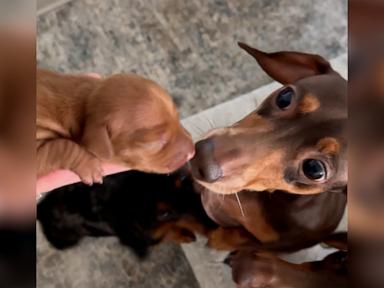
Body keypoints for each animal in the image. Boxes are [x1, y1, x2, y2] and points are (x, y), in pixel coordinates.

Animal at [37, 69, 194, 184]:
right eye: (157, 143)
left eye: (178, 117)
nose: (193, 151)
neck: (85, 102)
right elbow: (62, 146)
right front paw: (90, 167)